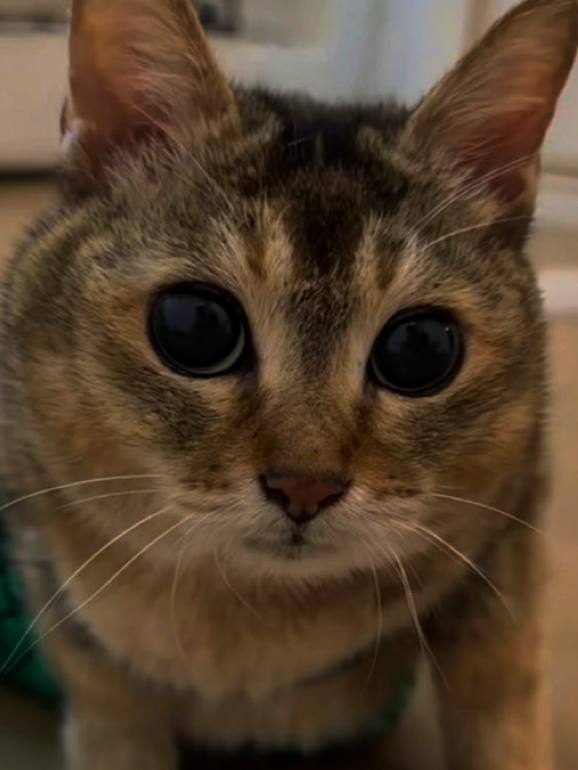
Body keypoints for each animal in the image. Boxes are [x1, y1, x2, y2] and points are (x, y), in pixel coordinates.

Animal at [1, 1, 576, 768]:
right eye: (194, 328)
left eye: (421, 349)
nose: (306, 486)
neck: (253, 620)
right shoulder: (83, 641)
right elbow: (113, 721)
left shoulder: (506, 545)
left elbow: (501, 707)